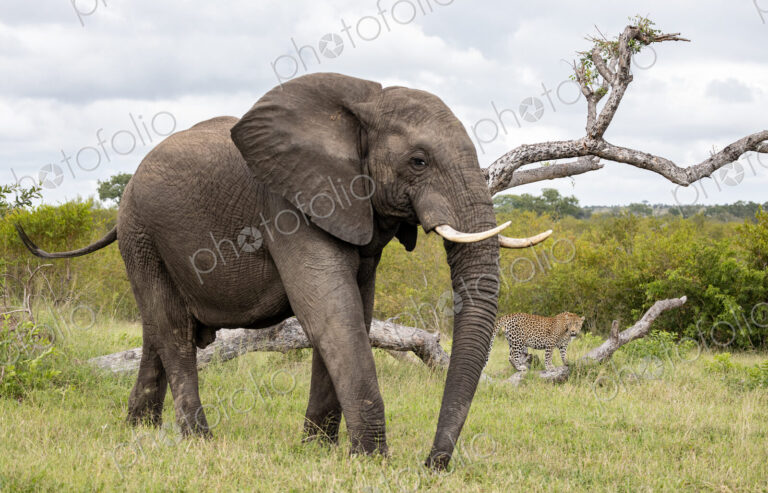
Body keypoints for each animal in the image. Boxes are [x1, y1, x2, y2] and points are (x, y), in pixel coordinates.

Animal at [16, 73, 550, 469]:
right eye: (418, 161)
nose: (432, 465)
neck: (362, 104)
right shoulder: (286, 204)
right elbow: (328, 309)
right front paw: (370, 461)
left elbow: (355, 310)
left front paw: (317, 451)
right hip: (141, 232)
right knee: (171, 329)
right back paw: (198, 440)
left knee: (156, 330)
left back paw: (139, 432)